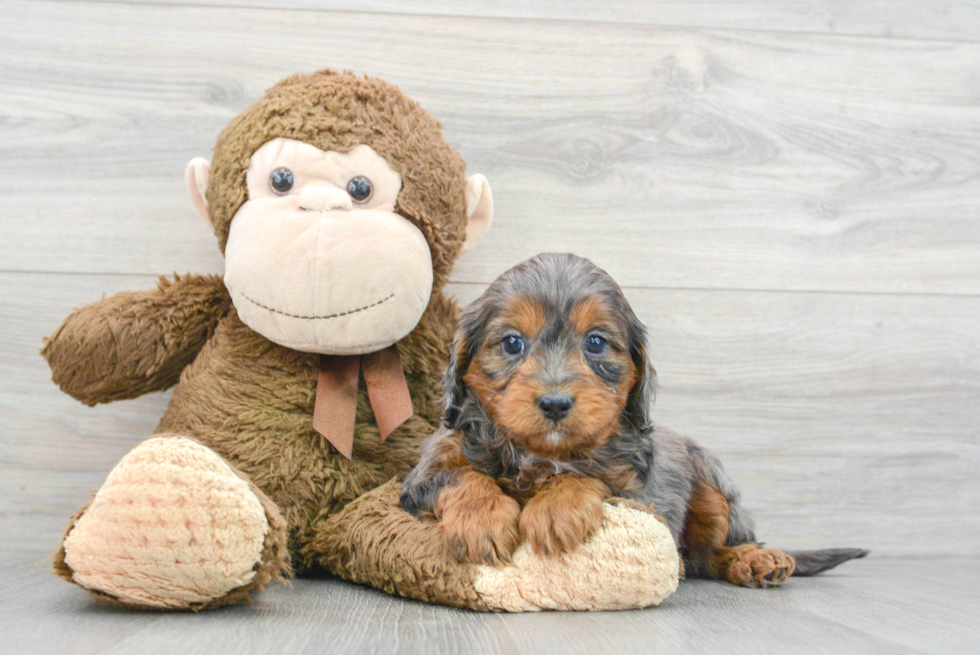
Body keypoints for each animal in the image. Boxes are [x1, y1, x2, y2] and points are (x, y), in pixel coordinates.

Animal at [398, 254, 864, 588]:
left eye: (596, 343)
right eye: (512, 343)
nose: (555, 404)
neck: (542, 452)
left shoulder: (636, 491)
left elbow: (588, 477)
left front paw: (555, 507)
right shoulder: (427, 470)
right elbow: (462, 476)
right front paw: (484, 519)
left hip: (711, 483)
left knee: (712, 551)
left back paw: (755, 558)